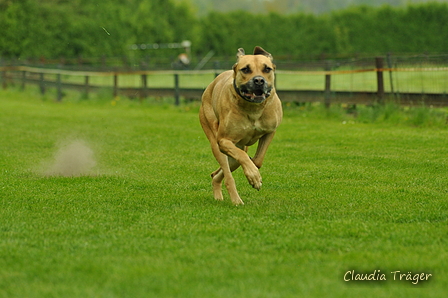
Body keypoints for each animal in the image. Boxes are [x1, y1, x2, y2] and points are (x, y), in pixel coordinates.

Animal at [200, 46, 282, 205]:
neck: (253, 107)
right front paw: (254, 177)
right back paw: (236, 200)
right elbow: (243, 157)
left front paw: (253, 170)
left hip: (239, 148)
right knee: (228, 174)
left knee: (218, 173)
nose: (259, 80)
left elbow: (258, 160)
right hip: (214, 139)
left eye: (267, 69)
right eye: (245, 69)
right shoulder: (223, 141)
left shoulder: (270, 131)